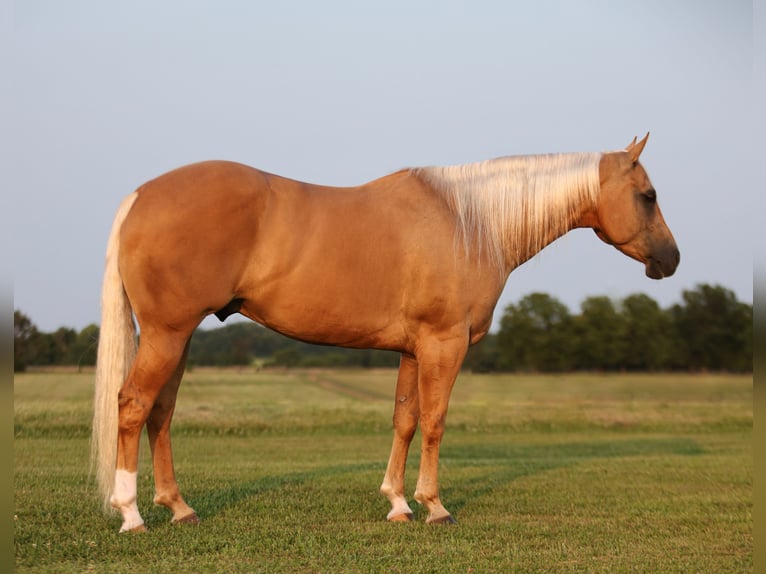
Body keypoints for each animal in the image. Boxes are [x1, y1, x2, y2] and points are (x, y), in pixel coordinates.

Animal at [91, 133, 680, 532]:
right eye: (648, 195)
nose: (671, 260)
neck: (469, 222)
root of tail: (141, 195)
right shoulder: (445, 343)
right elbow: (436, 421)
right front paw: (435, 506)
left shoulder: (414, 349)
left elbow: (405, 420)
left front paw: (397, 503)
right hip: (168, 334)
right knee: (134, 404)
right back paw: (131, 514)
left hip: (178, 336)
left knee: (161, 412)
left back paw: (178, 508)